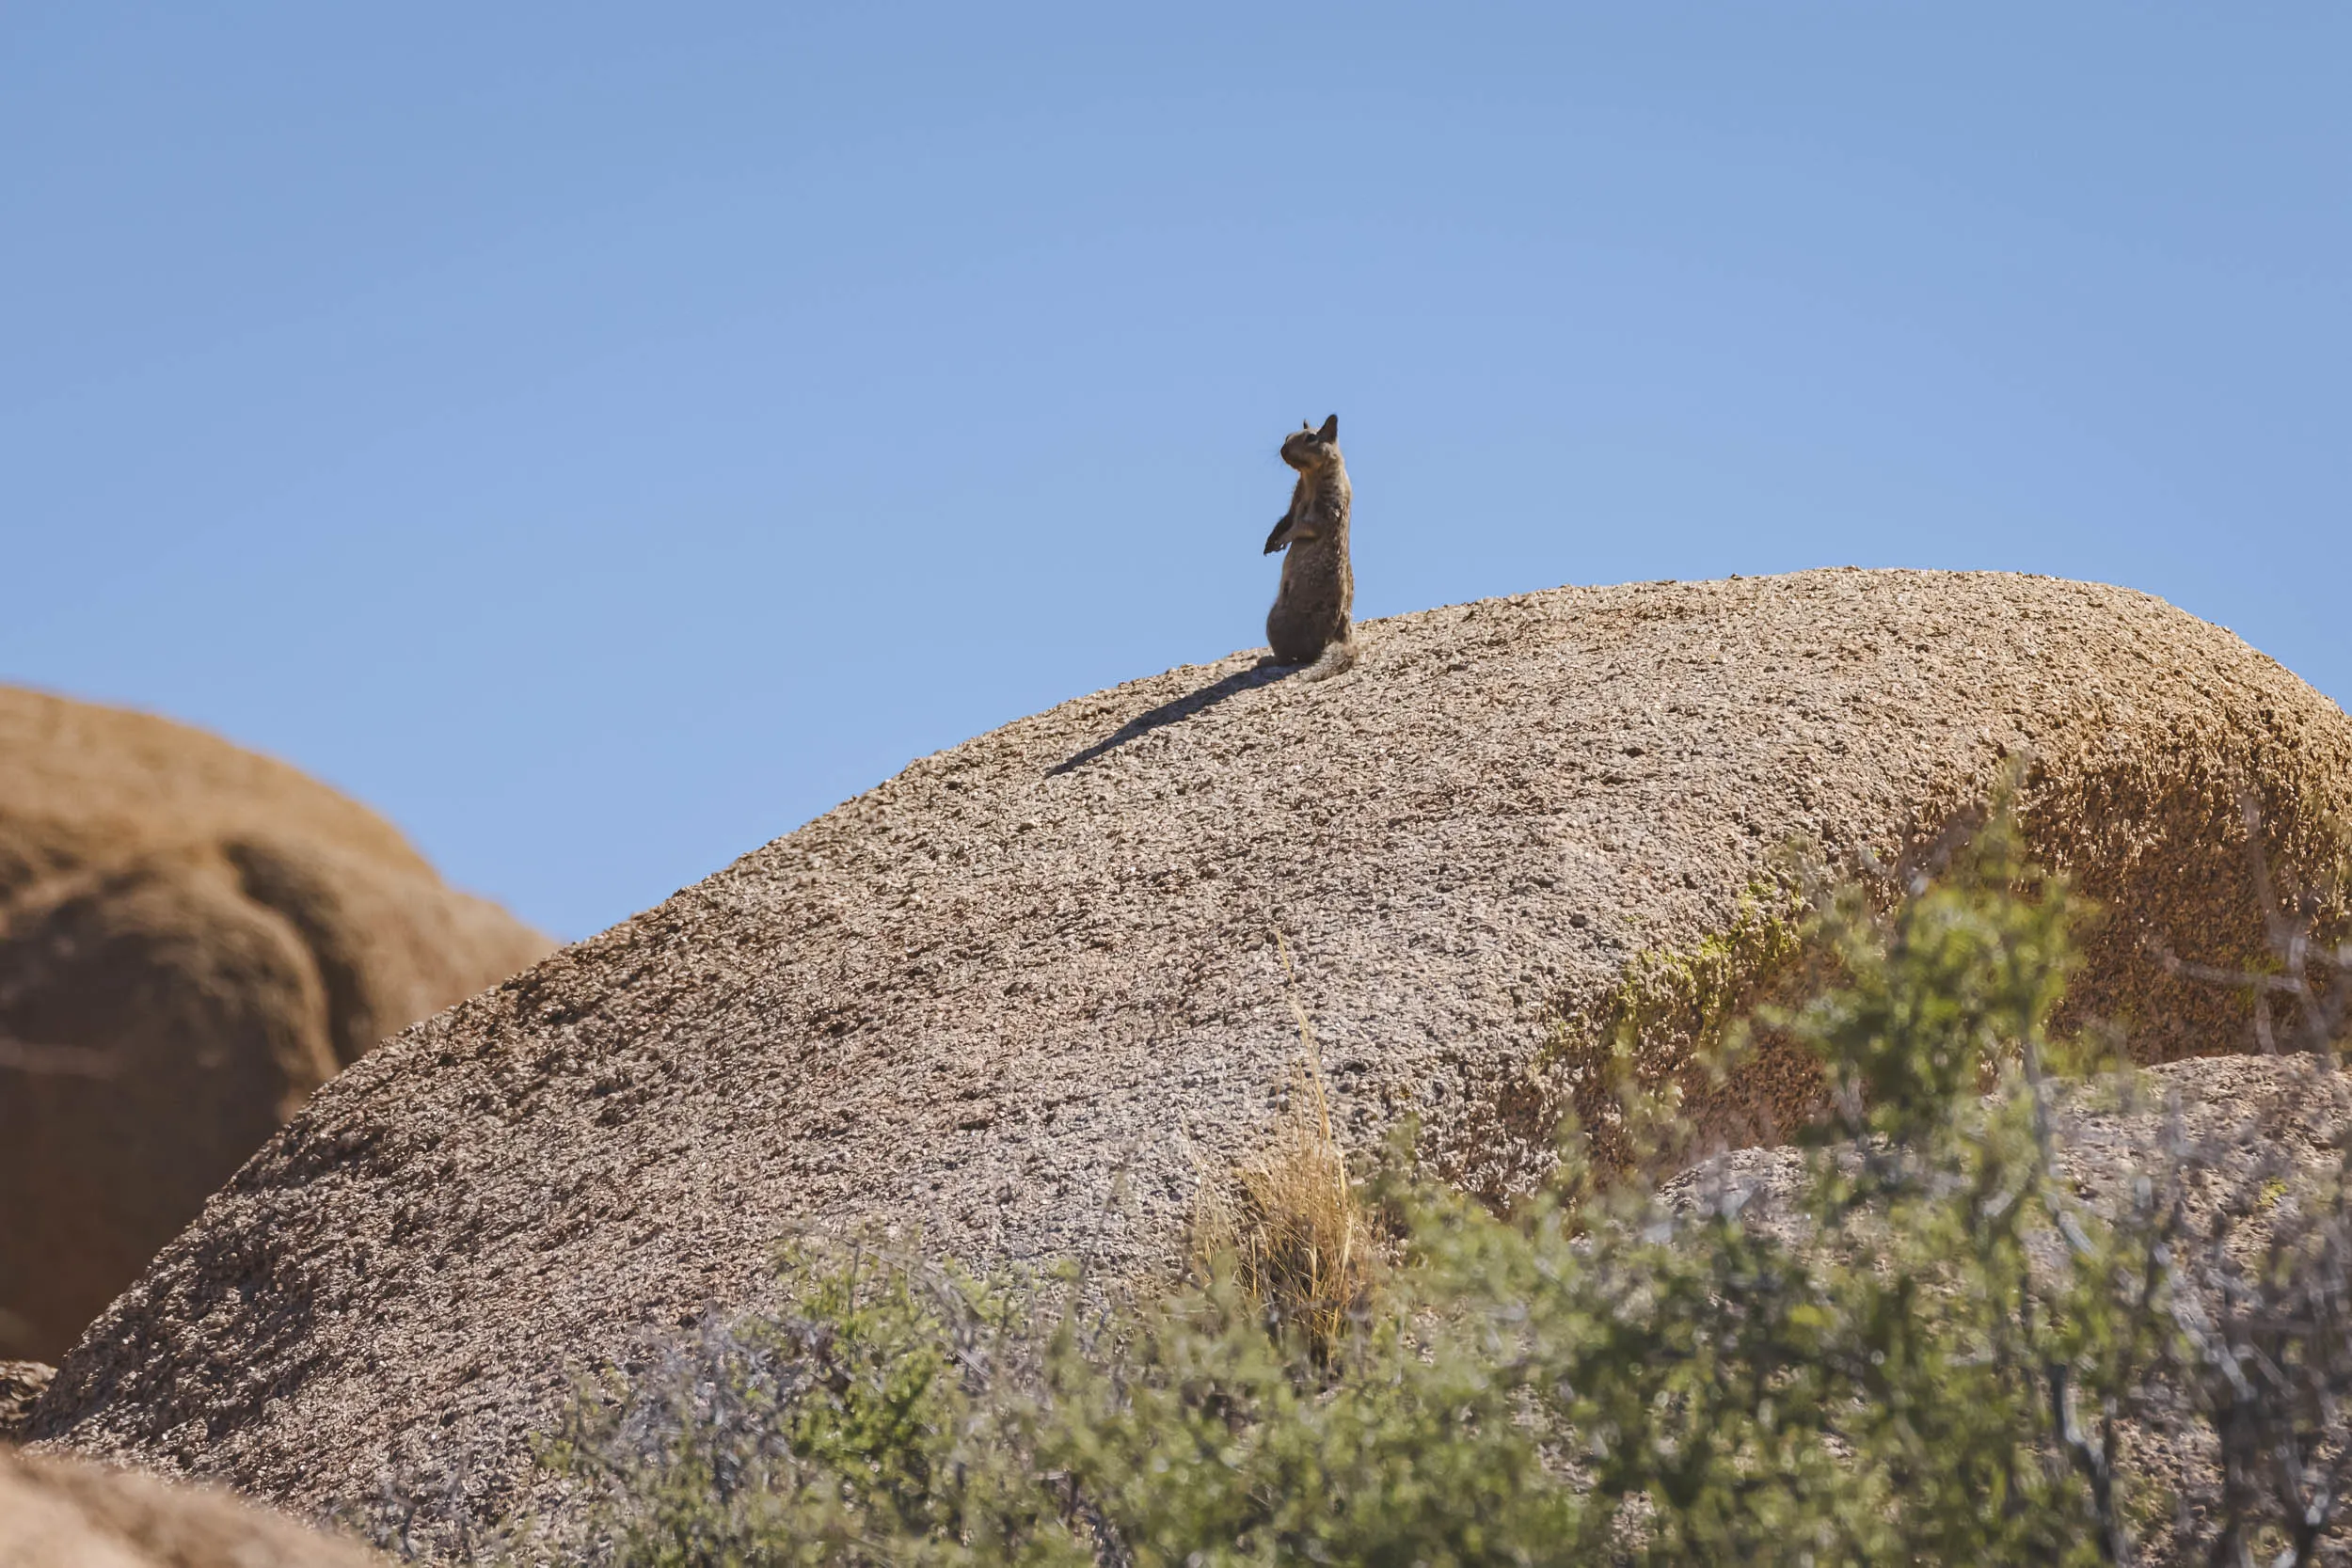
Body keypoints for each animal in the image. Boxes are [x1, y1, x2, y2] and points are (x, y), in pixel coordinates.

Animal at [1261, 414, 1356, 681]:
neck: (1308, 476)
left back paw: (1268, 661)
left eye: (1312, 438)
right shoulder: (1294, 502)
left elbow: (1305, 527)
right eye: (1286, 436)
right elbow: (1286, 519)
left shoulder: (1327, 506)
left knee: (1291, 657)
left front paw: (1283, 540)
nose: (1282, 450)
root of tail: (1340, 639)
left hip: (1275, 622)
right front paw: (1270, 541)